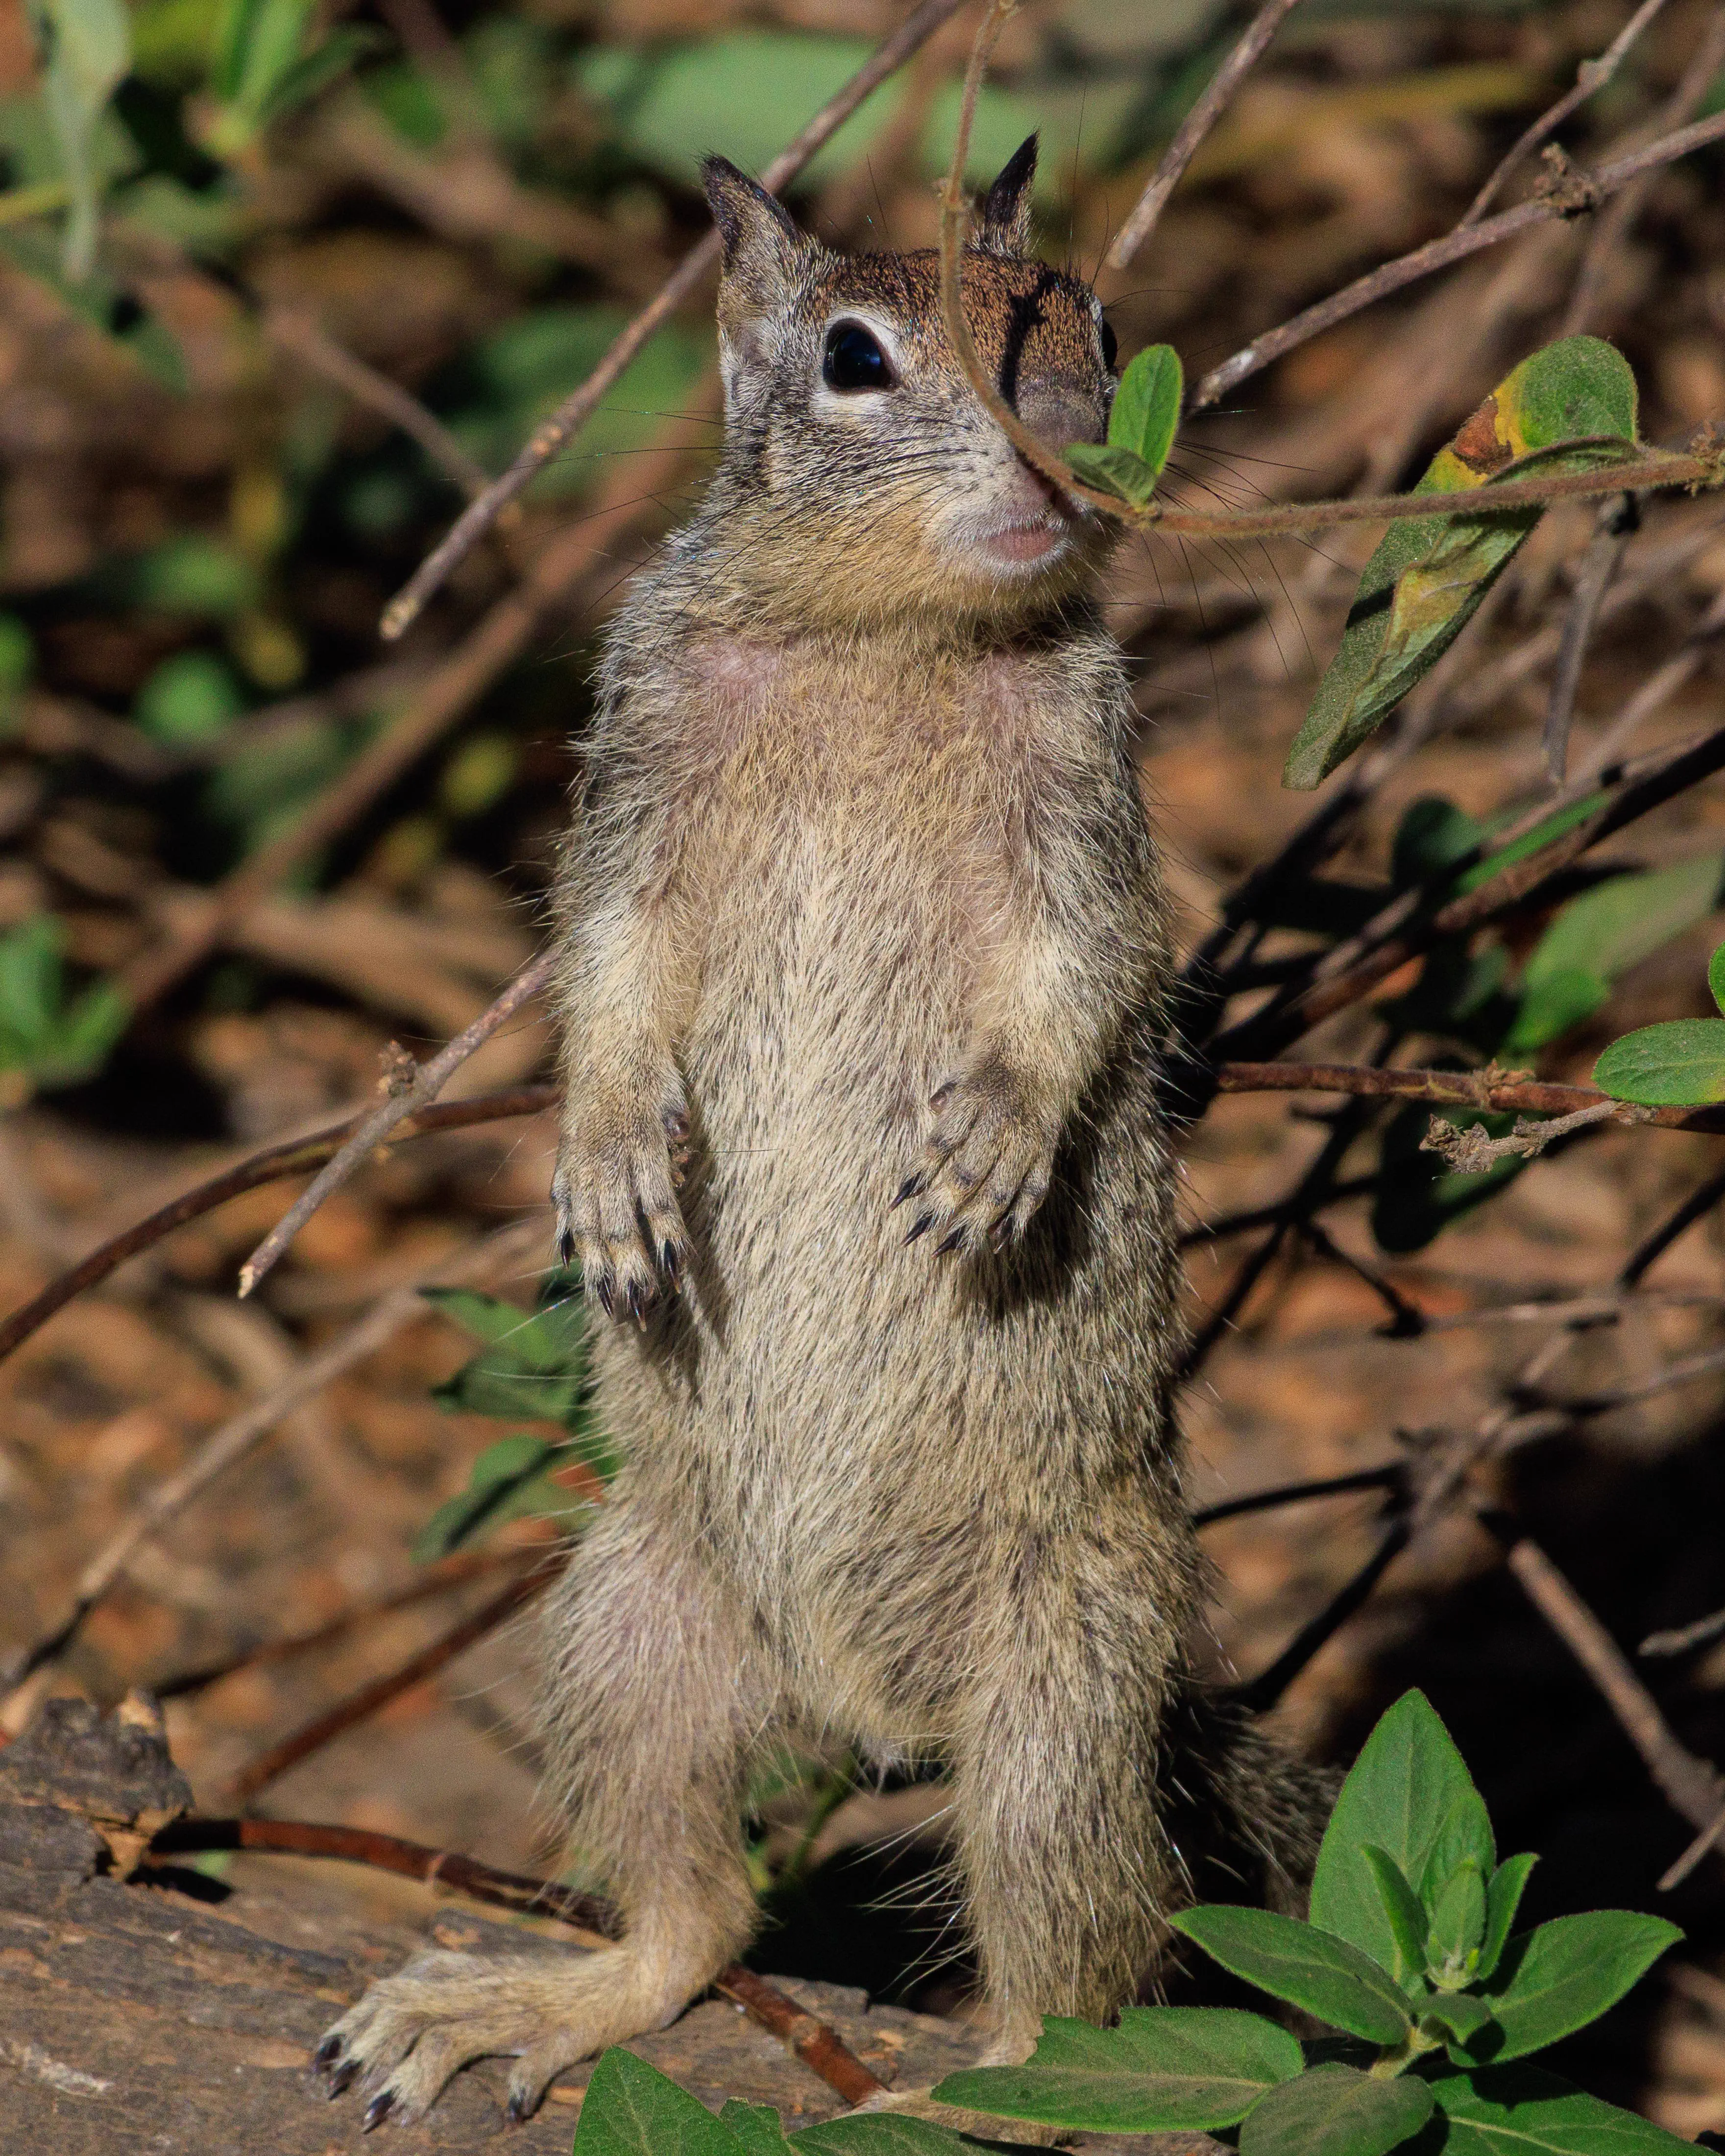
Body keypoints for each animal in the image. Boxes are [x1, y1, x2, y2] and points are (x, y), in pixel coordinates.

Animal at [318, 136, 1326, 2132]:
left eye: (1096, 325)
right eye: (856, 359)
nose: (1065, 457)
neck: (883, 636)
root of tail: (868, 1709)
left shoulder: (1088, 794)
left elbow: (1083, 972)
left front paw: (998, 1144)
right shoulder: (635, 760)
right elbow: (606, 970)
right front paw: (608, 1166)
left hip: (1059, 1697)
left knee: (1084, 1983)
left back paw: (966, 2095)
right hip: (628, 1617)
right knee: (695, 1917)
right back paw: (534, 1996)